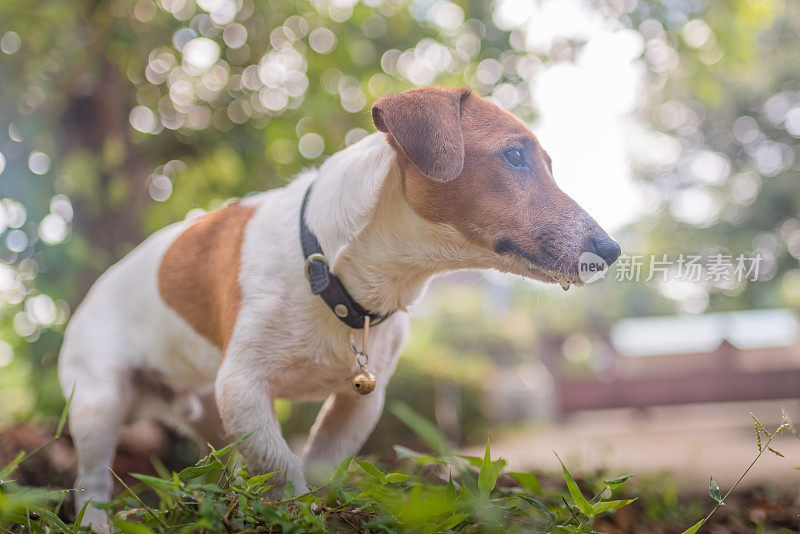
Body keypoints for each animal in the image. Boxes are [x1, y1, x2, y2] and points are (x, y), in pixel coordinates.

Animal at [59, 86, 620, 528]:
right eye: (515, 156)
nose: (611, 250)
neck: (337, 275)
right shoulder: (243, 386)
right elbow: (283, 467)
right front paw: (298, 511)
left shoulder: (358, 401)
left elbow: (316, 464)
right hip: (99, 405)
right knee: (91, 488)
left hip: (212, 415)